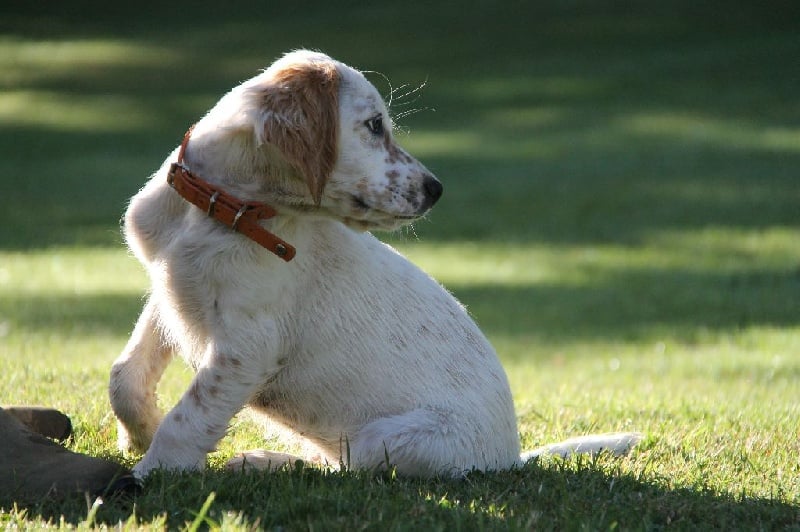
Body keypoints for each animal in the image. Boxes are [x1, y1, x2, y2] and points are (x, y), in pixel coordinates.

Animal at [109, 52, 640, 480]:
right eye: (373, 126)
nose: (436, 190)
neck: (220, 212)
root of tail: (508, 457)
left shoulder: (249, 346)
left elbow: (188, 418)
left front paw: (151, 475)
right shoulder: (170, 296)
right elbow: (124, 376)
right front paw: (140, 434)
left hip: (387, 440)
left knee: (347, 468)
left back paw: (264, 465)